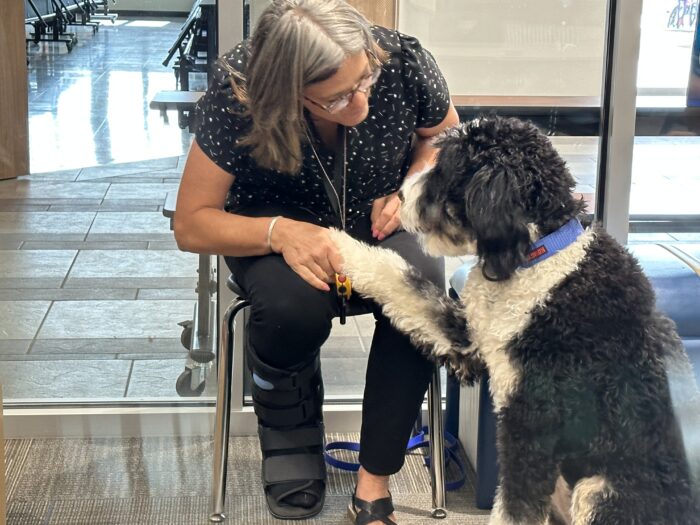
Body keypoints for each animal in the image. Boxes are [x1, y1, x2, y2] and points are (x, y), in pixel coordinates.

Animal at [332, 117, 700, 524]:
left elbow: (514, 508)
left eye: (445, 169)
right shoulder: (472, 339)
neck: (540, 257)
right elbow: (405, 283)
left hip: (602, 492)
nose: (398, 196)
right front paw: (340, 244)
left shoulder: (531, 425)